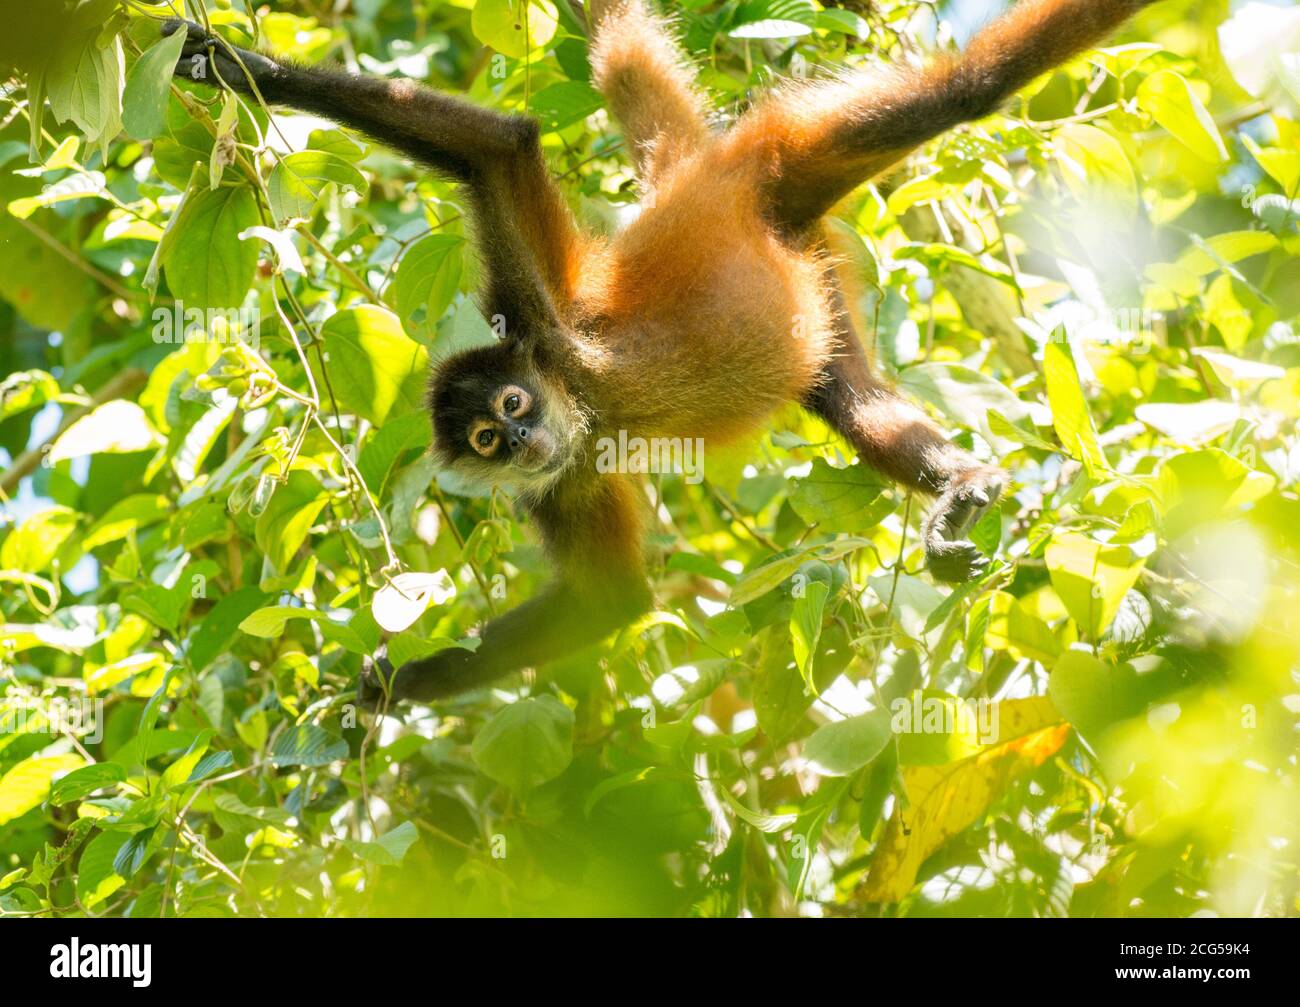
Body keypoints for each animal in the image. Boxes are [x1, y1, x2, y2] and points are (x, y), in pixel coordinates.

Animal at [163, 0, 1157, 705]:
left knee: (974, 86)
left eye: (512, 405)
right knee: (847, 398)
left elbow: (497, 148)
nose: (518, 440)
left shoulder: (543, 324)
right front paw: (386, 686)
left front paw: (241, 68)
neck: (582, 404)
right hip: (808, 264)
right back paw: (962, 485)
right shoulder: (561, 478)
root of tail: (697, 185)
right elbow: (612, 603)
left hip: (784, 155)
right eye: (485, 442)